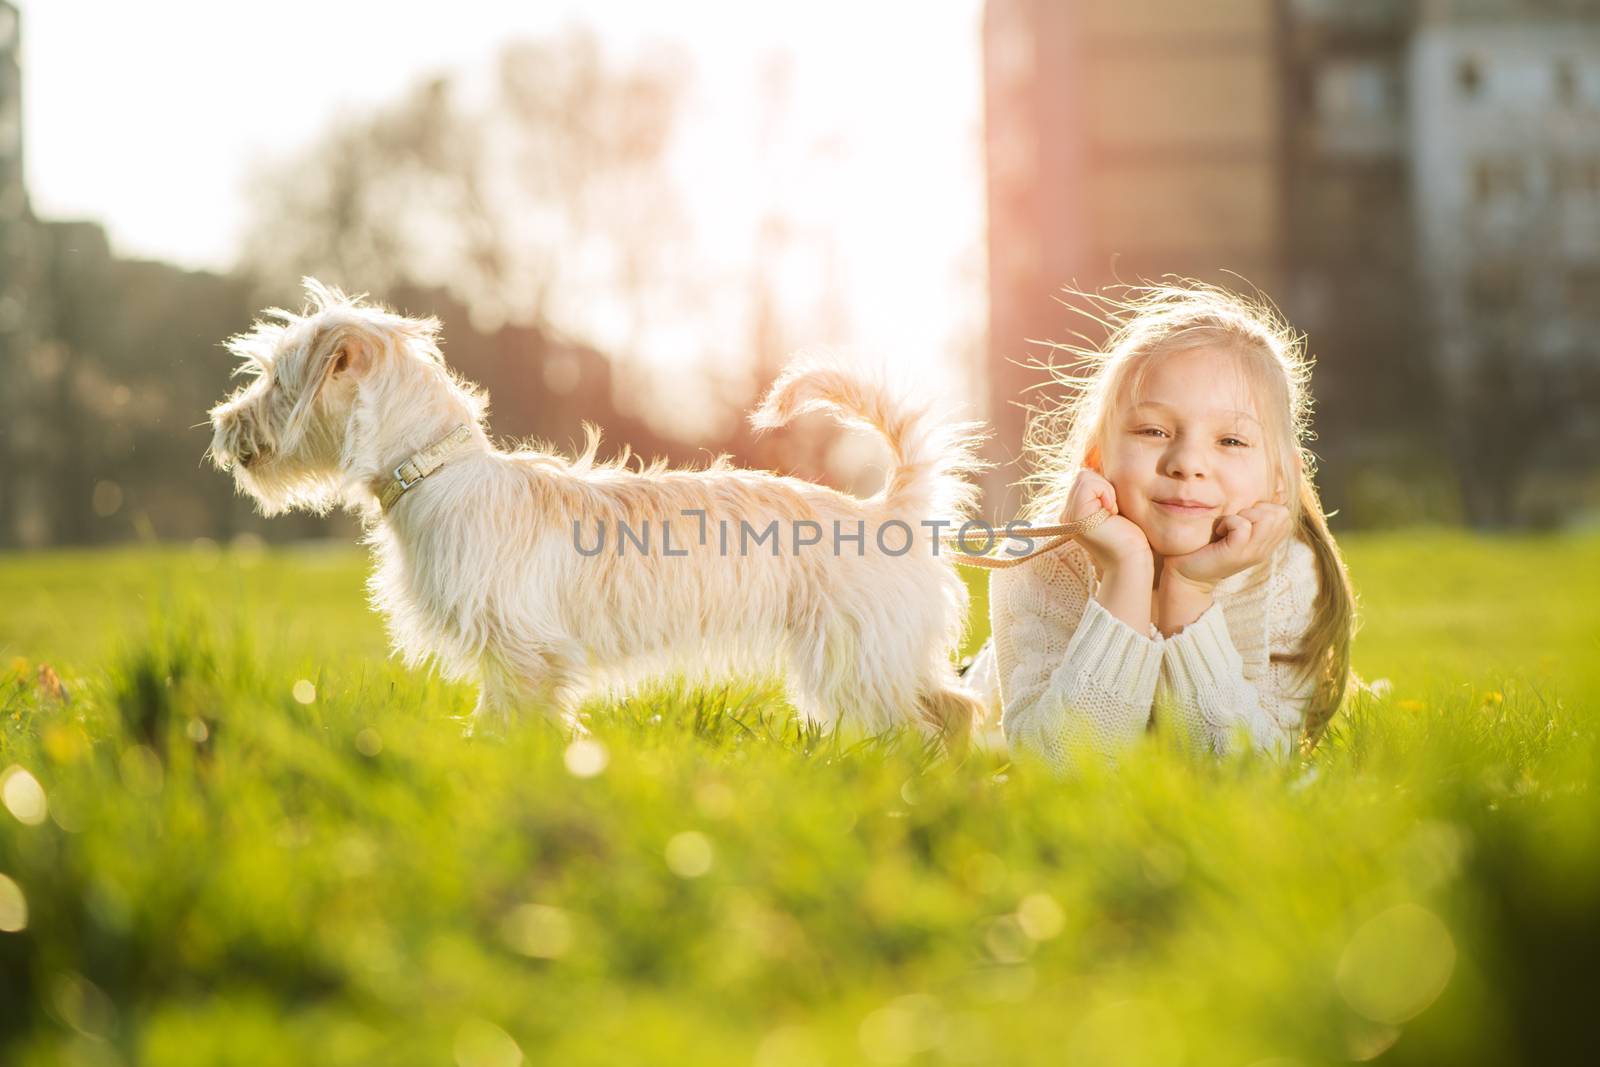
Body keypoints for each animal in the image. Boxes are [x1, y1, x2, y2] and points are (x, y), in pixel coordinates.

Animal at [208, 283, 992, 751]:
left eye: (275, 381)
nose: (221, 425)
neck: (437, 471)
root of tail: (886, 507)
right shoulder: (515, 653)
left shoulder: (523, 651)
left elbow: (512, 721)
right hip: (881, 658)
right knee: (953, 709)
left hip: (858, 659)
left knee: (930, 719)